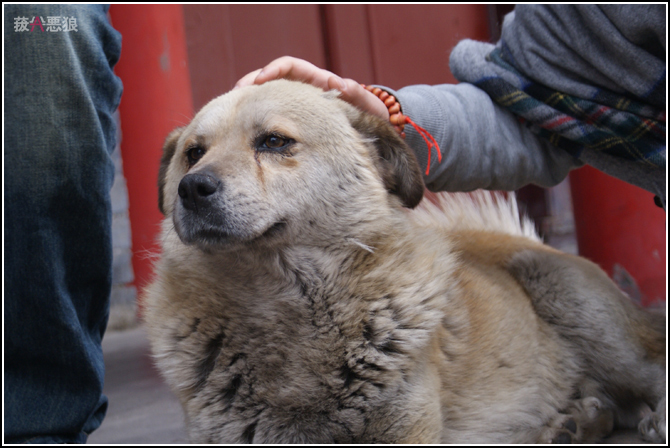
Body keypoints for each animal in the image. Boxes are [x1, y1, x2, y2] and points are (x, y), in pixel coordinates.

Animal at [143, 80, 668, 444]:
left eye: (274, 142)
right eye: (193, 153)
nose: (193, 188)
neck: (279, 306)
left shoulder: (402, 429)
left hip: (569, 295)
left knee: (651, 370)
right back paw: (578, 421)